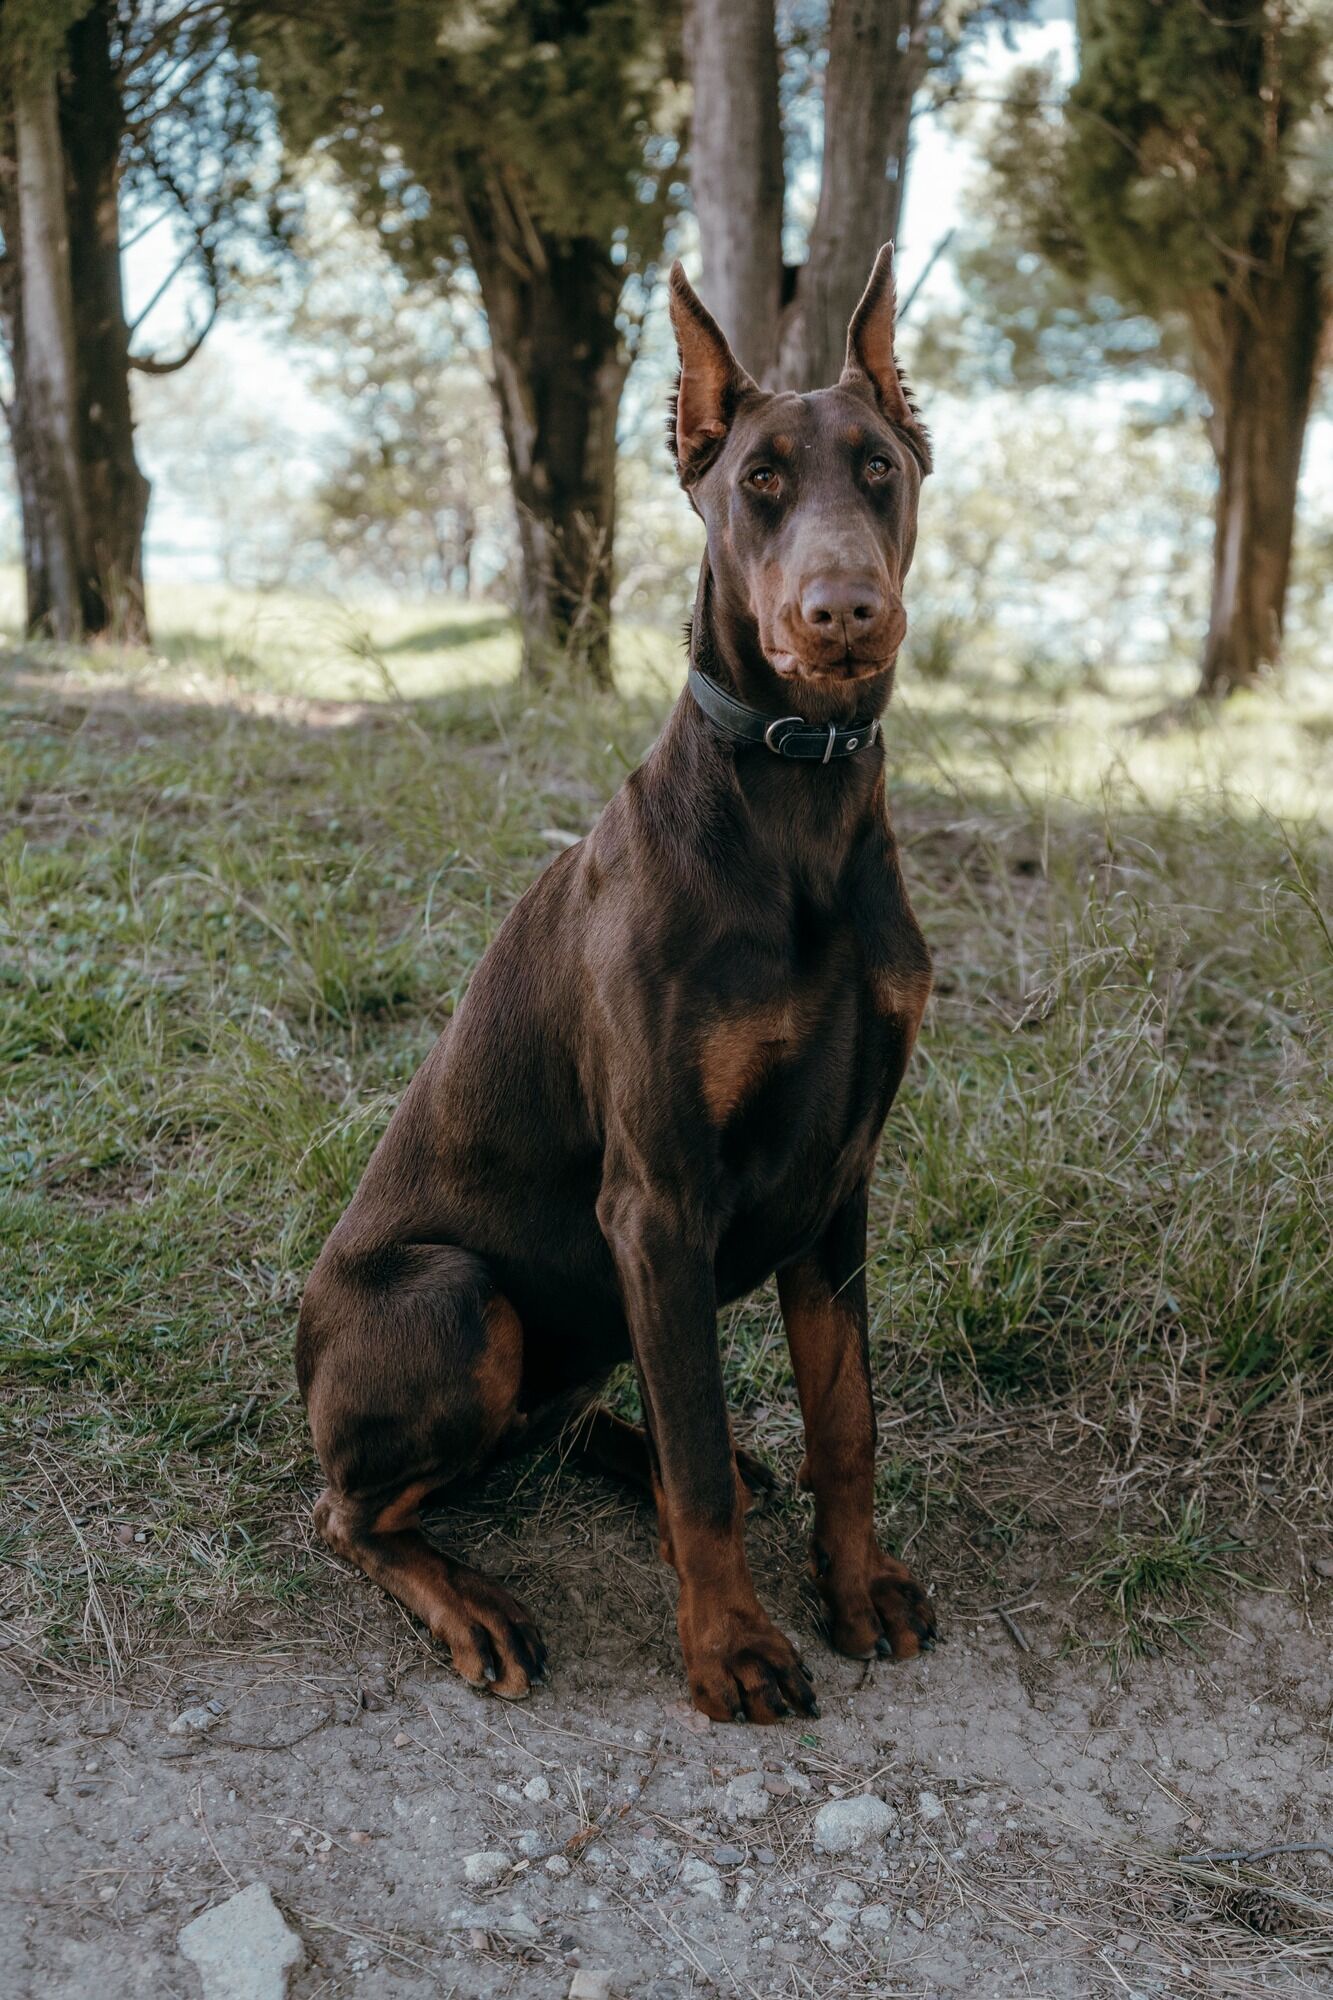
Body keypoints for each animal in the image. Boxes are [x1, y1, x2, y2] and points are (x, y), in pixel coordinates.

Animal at [296, 246, 928, 1720]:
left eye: (878, 467)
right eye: (759, 479)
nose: (844, 615)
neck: (798, 810)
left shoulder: (842, 1181)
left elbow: (845, 1418)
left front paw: (856, 1586)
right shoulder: (658, 1196)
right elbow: (697, 1460)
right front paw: (733, 1646)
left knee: (583, 1411)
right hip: (458, 1299)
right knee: (350, 1511)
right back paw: (470, 1602)